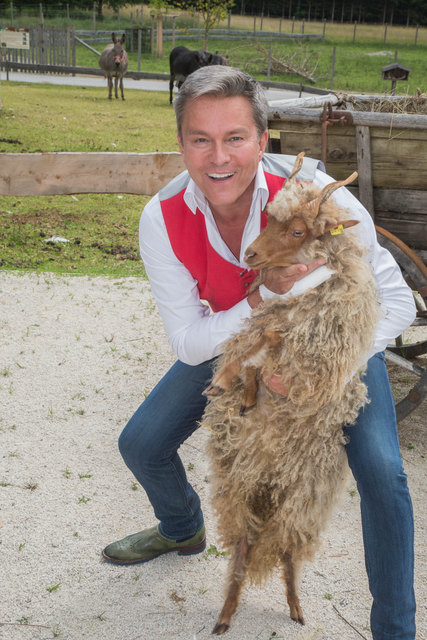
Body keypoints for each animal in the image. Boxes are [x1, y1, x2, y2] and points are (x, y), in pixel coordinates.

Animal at [204, 151, 382, 636]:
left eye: (299, 231)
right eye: (268, 217)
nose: (250, 253)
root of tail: (269, 482)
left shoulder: (312, 359)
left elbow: (269, 343)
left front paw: (239, 375)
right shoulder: (276, 318)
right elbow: (256, 340)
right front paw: (233, 379)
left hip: (299, 504)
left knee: (286, 554)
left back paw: (296, 606)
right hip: (240, 493)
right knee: (243, 553)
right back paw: (225, 615)